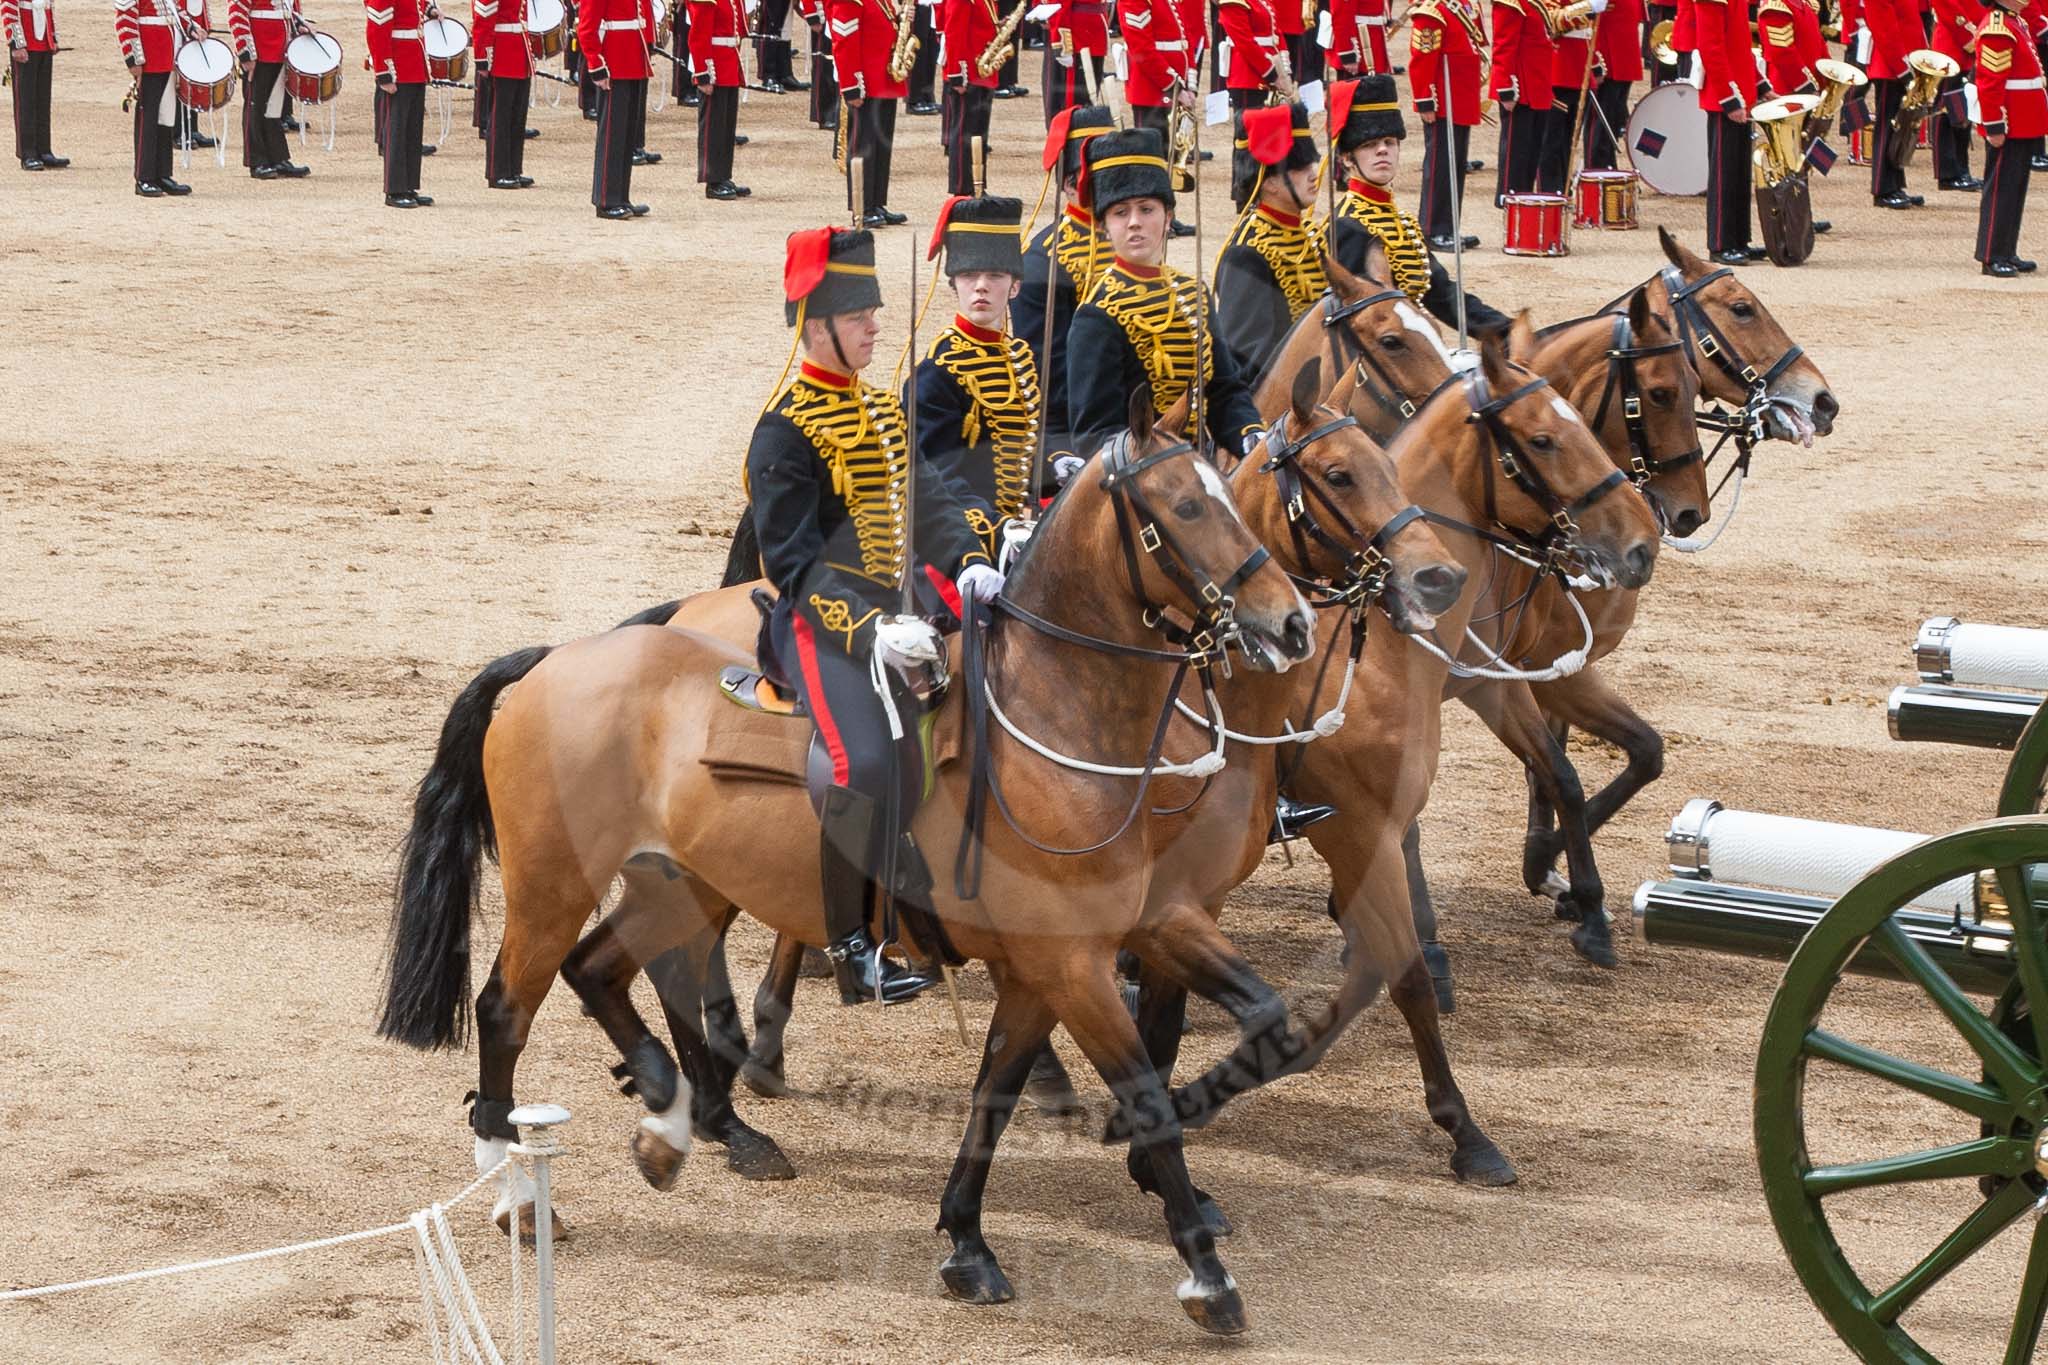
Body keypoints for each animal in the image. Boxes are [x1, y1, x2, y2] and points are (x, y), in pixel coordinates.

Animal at [377, 387, 1323, 1334]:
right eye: (1187, 506)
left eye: (1234, 498)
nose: (1292, 623)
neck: (1054, 726)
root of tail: (556, 660)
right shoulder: (1072, 962)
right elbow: (1145, 1095)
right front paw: (1206, 1275)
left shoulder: (1079, 948)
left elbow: (1023, 1083)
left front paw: (968, 1241)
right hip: (553, 884)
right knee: (507, 1007)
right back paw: (520, 1191)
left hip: (682, 883)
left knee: (604, 966)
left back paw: (673, 1117)